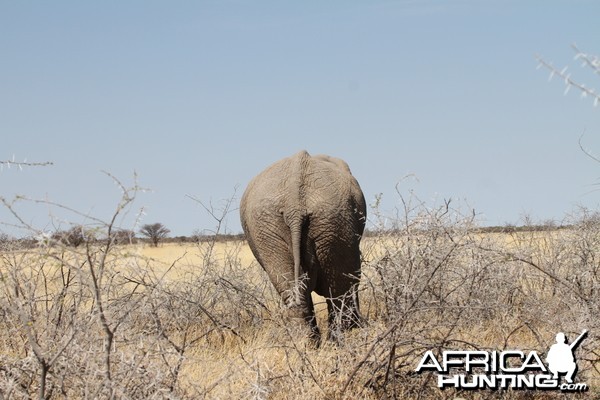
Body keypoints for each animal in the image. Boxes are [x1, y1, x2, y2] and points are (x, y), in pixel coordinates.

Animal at [239, 150, 366, 340]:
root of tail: (294, 203)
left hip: (276, 226)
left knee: (295, 289)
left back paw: (309, 343)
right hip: (330, 218)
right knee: (340, 288)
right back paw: (343, 337)